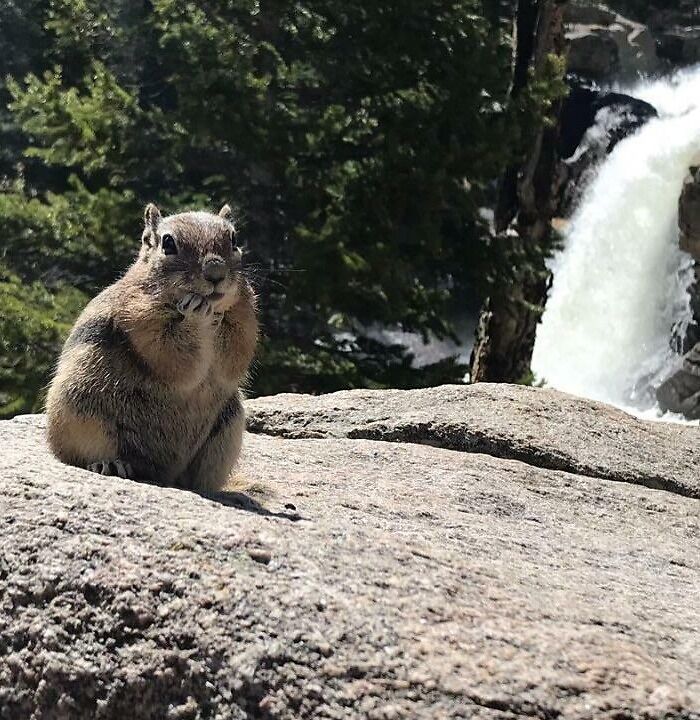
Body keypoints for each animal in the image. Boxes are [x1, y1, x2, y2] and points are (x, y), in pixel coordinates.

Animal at [47, 204, 260, 496]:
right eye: (168, 243)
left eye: (234, 238)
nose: (215, 273)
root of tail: (162, 472)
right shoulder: (140, 318)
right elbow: (172, 356)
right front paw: (196, 316)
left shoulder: (245, 319)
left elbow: (235, 356)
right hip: (78, 408)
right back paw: (111, 464)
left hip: (230, 425)